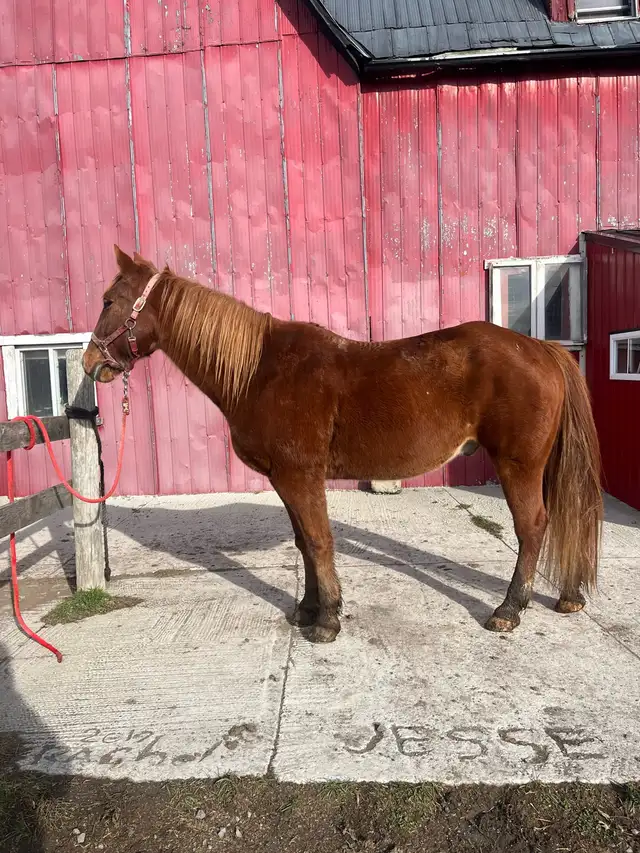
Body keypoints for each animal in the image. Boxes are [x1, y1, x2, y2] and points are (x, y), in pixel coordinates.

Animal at [83, 246, 603, 644]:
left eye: (109, 300)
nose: (90, 363)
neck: (259, 371)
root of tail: (541, 349)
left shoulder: (299, 475)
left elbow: (318, 541)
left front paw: (327, 620)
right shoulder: (286, 478)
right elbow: (302, 542)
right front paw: (307, 609)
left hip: (519, 464)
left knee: (532, 527)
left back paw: (509, 610)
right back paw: (567, 596)